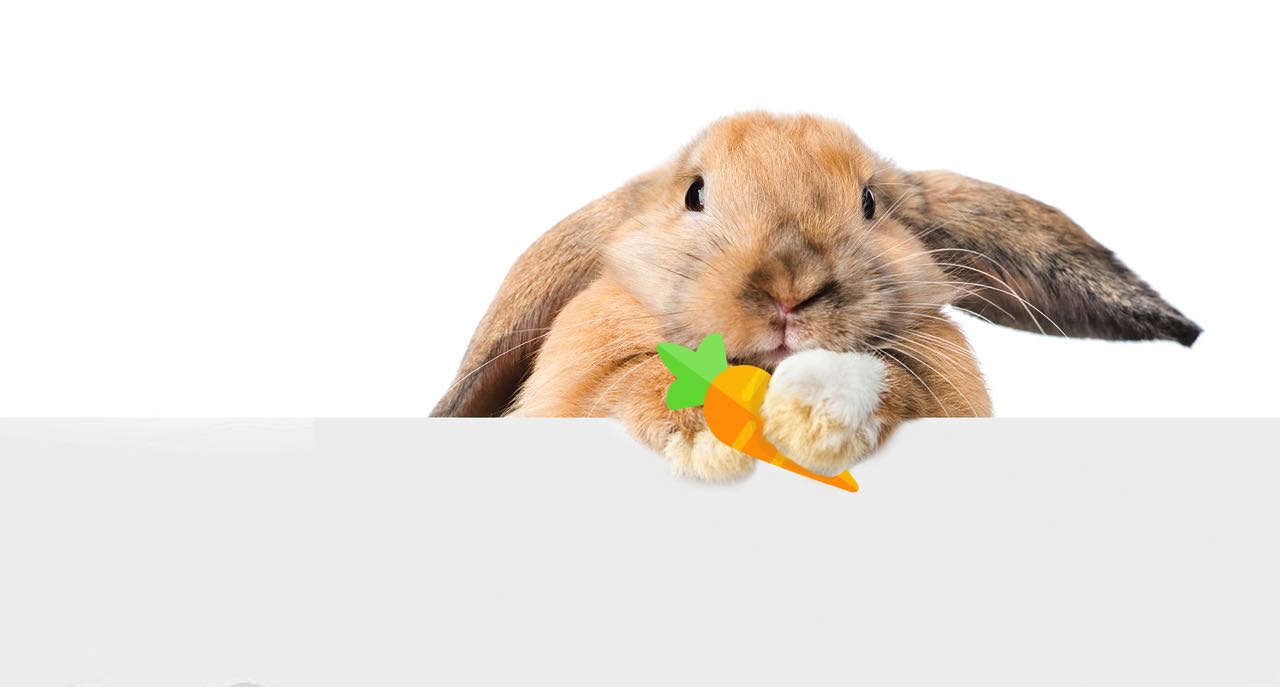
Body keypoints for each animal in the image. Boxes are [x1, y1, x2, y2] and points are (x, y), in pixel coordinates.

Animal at [433, 112, 1200, 481]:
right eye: (694, 193)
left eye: (869, 202)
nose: (788, 288)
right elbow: (634, 379)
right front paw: (710, 437)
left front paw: (819, 417)